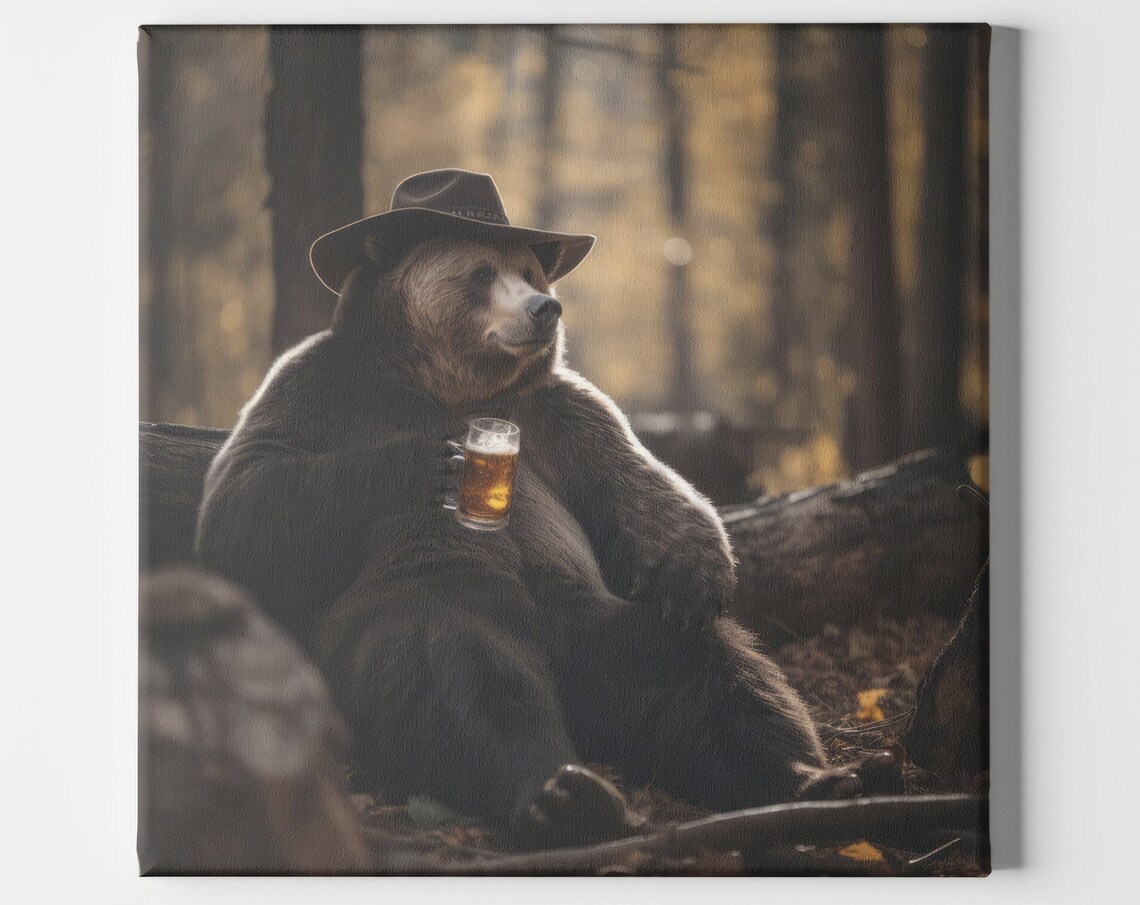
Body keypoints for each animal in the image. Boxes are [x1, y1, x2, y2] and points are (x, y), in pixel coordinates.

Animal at [194, 205, 851, 847]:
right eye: (482, 273)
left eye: (532, 274)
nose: (545, 308)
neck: (451, 392)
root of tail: (579, 703)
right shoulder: (325, 392)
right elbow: (247, 503)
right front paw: (431, 459)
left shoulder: (559, 416)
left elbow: (637, 480)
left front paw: (694, 570)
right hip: (435, 608)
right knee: (455, 668)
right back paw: (559, 796)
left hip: (609, 630)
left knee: (714, 673)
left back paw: (813, 775)